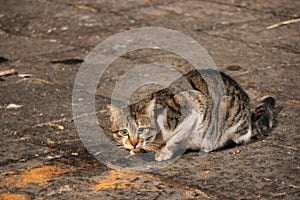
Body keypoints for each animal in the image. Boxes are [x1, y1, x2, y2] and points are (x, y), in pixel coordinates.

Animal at [106, 69, 276, 161]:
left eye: (141, 129)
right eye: (124, 132)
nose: (134, 143)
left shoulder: (194, 106)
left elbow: (174, 139)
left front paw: (163, 151)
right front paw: (138, 149)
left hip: (226, 108)